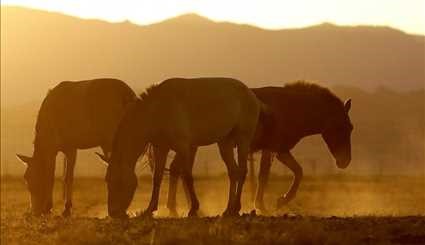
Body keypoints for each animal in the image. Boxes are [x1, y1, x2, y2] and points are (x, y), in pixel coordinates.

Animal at [16, 78, 136, 216]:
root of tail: (127, 95)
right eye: (25, 178)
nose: (34, 211)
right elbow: (67, 177)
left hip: (112, 138)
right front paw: (65, 208)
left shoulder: (56, 149)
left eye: (29, 178)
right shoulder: (71, 148)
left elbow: (52, 177)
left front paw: (51, 208)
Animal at [164, 82, 352, 214]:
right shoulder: (273, 149)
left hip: (191, 146)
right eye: (341, 127)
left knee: (177, 170)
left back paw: (182, 208)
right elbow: (264, 175)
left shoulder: (280, 150)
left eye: (350, 127)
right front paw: (265, 204)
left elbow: (298, 171)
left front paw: (279, 201)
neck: (288, 108)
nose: (345, 162)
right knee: (179, 171)